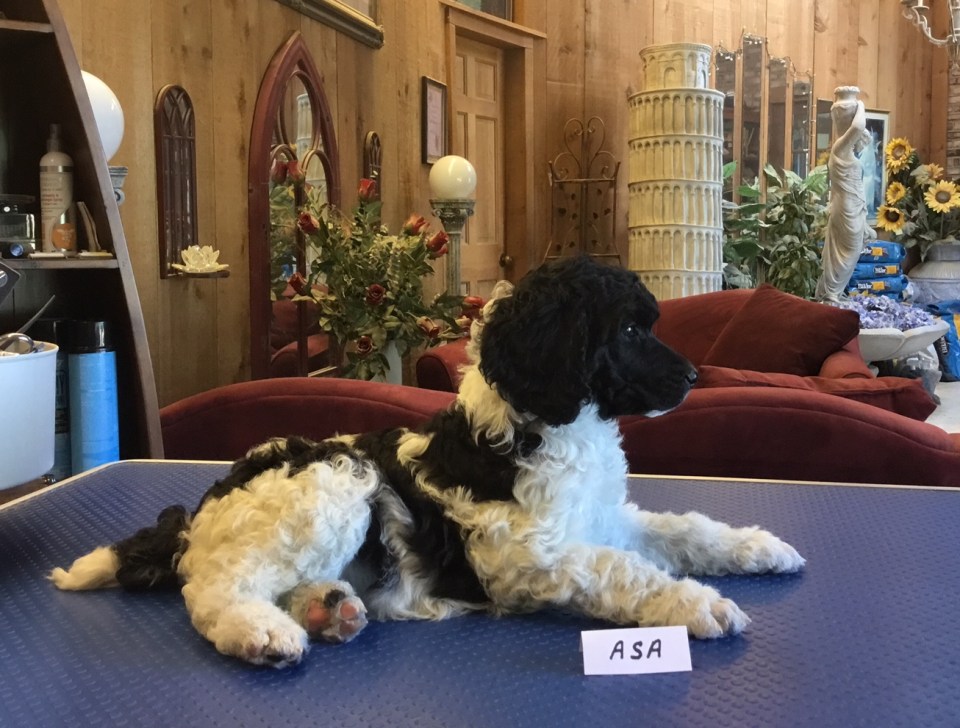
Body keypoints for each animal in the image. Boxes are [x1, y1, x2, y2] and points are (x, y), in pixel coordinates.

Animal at [51, 256, 804, 668]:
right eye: (626, 329)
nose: (694, 378)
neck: (549, 426)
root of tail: (201, 510)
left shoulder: (603, 521)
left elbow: (684, 530)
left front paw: (760, 548)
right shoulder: (528, 558)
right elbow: (625, 572)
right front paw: (700, 605)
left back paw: (328, 609)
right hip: (336, 484)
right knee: (214, 590)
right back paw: (263, 631)